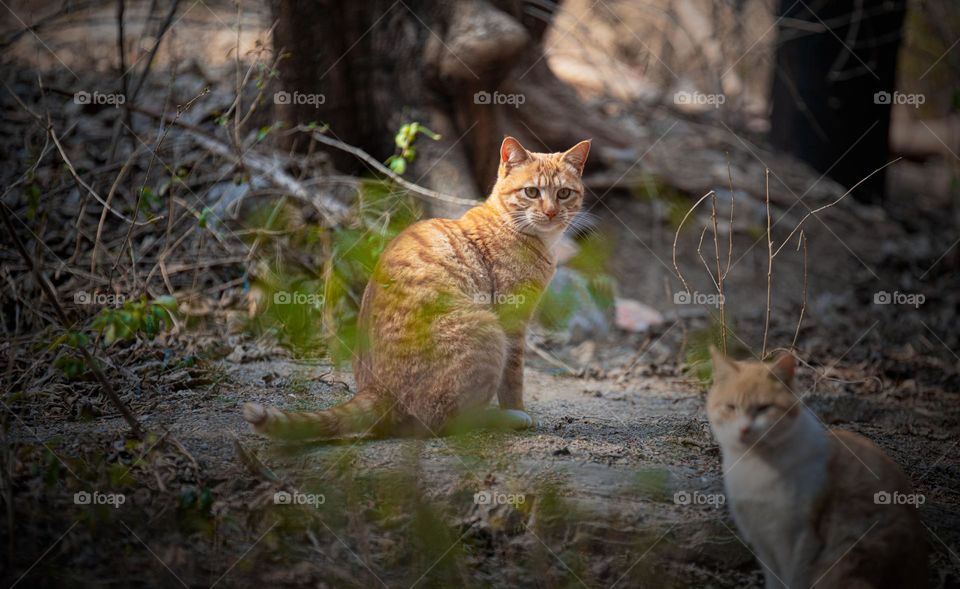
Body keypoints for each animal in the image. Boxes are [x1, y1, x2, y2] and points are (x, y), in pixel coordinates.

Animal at [708, 346, 928, 588]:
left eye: (764, 408)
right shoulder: (762, 540)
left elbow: (794, 580)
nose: (744, 429)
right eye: (731, 407)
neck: (756, 465)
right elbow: (774, 581)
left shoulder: (800, 537)